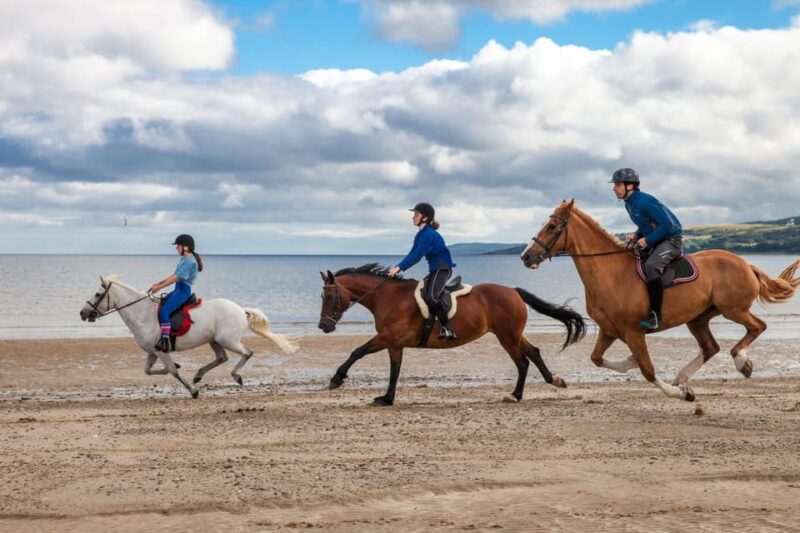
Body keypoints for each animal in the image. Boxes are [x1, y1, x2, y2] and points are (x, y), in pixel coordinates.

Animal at [80, 275, 298, 398]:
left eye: (98, 294)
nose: (82, 313)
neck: (142, 313)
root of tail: (241, 310)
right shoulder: (153, 352)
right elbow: (149, 371)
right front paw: (180, 371)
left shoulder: (161, 351)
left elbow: (172, 372)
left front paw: (193, 391)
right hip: (214, 341)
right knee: (222, 357)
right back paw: (199, 374)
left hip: (228, 340)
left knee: (247, 352)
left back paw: (236, 376)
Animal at [318, 264, 586, 406]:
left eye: (329, 296)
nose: (323, 327)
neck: (387, 297)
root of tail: (514, 291)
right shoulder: (395, 343)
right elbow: (395, 371)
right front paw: (387, 398)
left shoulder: (386, 338)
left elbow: (357, 352)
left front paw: (336, 379)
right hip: (513, 334)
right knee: (534, 352)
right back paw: (554, 380)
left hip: (507, 337)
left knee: (522, 361)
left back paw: (515, 395)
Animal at [521, 200, 800, 402]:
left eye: (552, 227)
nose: (526, 256)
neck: (609, 273)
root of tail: (745, 264)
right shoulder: (609, 330)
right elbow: (596, 358)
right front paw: (631, 361)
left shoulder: (633, 332)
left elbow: (648, 370)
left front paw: (681, 394)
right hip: (698, 318)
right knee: (710, 347)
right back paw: (683, 377)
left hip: (733, 309)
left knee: (757, 327)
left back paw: (741, 361)